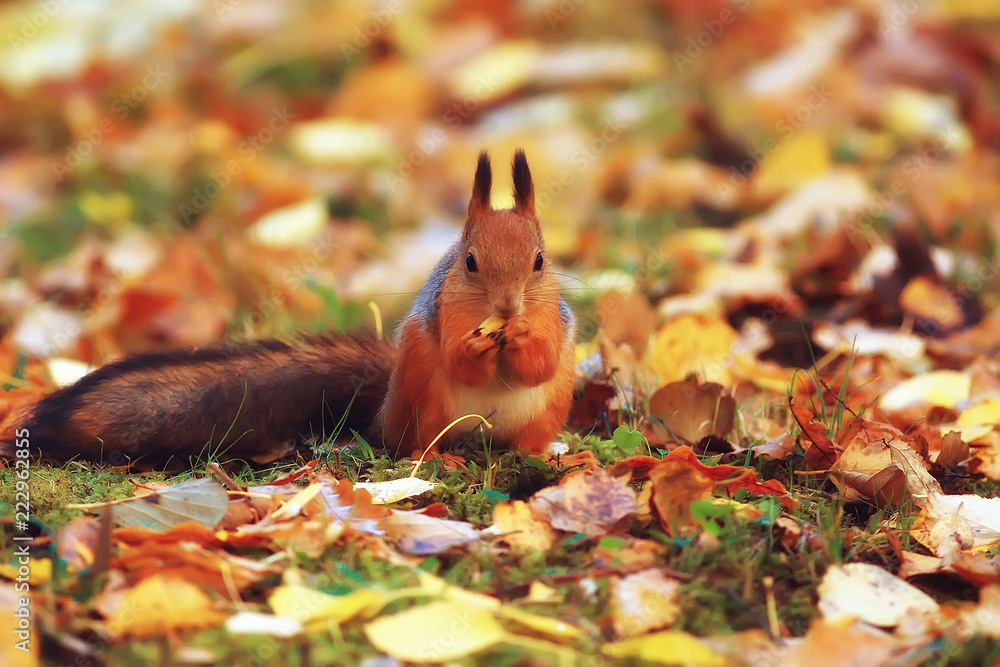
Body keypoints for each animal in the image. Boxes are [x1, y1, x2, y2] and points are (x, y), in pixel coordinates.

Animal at [11, 149, 580, 468]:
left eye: (539, 261)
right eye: (469, 262)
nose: (508, 306)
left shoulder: (554, 321)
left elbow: (541, 361)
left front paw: (522, 338)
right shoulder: (441, 315)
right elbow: (461, 359)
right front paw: (477, 348)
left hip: (550, 406)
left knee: (528, 436)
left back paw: (549, 455)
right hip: (423, 398)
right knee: (411, 442)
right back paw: (436, 456)